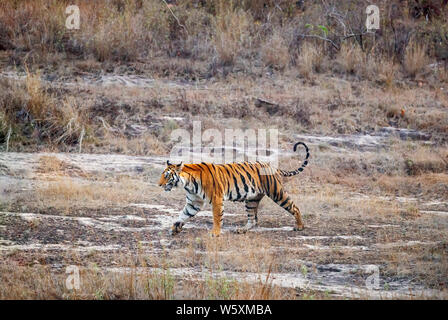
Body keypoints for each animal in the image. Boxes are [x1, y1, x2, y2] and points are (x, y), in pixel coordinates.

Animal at [159, 141, 310, 236]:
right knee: (253, 219)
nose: (159, 185)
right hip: (251, 200)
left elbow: (216, 217)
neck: (188, 184)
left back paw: (299, 227)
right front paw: (174, 229)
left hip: (276, 193)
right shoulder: (193, 202)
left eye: (167, 176)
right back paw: (241, 230)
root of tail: (272, 166)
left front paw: (215, 233)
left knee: (294, 207)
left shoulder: (216, 199)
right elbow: (183, 215)